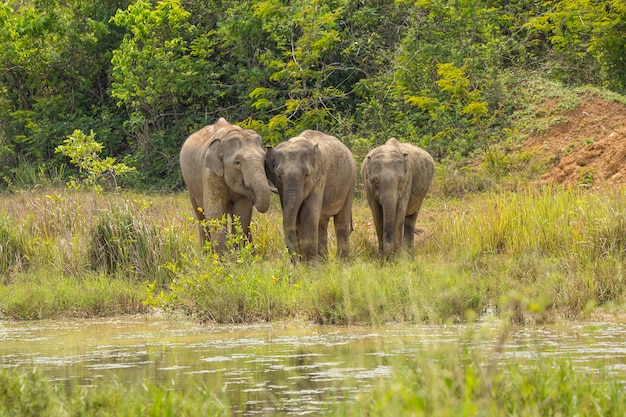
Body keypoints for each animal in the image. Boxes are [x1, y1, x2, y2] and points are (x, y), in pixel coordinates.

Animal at [178, 118, 270, 252]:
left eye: (264, 160)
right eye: (237, 162)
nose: (253, 196)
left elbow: (242, 212)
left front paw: (239, 254)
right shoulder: (210, 173)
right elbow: (214, 213)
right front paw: (224, 257)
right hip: (191, 187)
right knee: (200, 216)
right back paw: (206, 253)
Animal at [264, 128, 356, 262]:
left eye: (307, 175)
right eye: (278, 175)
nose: (296, 261)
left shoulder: (319, 179)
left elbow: (308, 215)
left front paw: (311, 265)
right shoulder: (282, 190)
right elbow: (294, 216)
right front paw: (306, 264)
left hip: (350, 182)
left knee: (341, 221)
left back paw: (341, 261)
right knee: (322, 223)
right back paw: (324, 261)